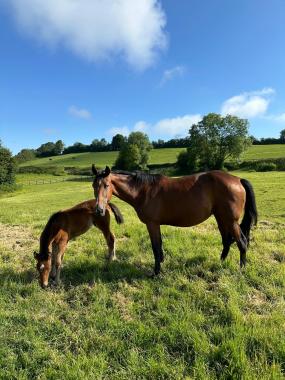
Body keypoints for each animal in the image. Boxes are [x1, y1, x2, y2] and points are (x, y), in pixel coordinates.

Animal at [92, 165, 256, 274]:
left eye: (106, 185)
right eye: (94, 185)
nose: (99, 210)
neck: (143, 190)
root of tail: (238, 180)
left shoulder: (152, 224)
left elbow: (155, 247)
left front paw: (156, 272)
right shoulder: (156, 224)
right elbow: (159, 245)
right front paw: (161, 263)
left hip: (231, 221)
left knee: (241, 242)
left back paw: (241, 269)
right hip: (221, 218)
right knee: (226, 241)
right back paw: (221, 263)